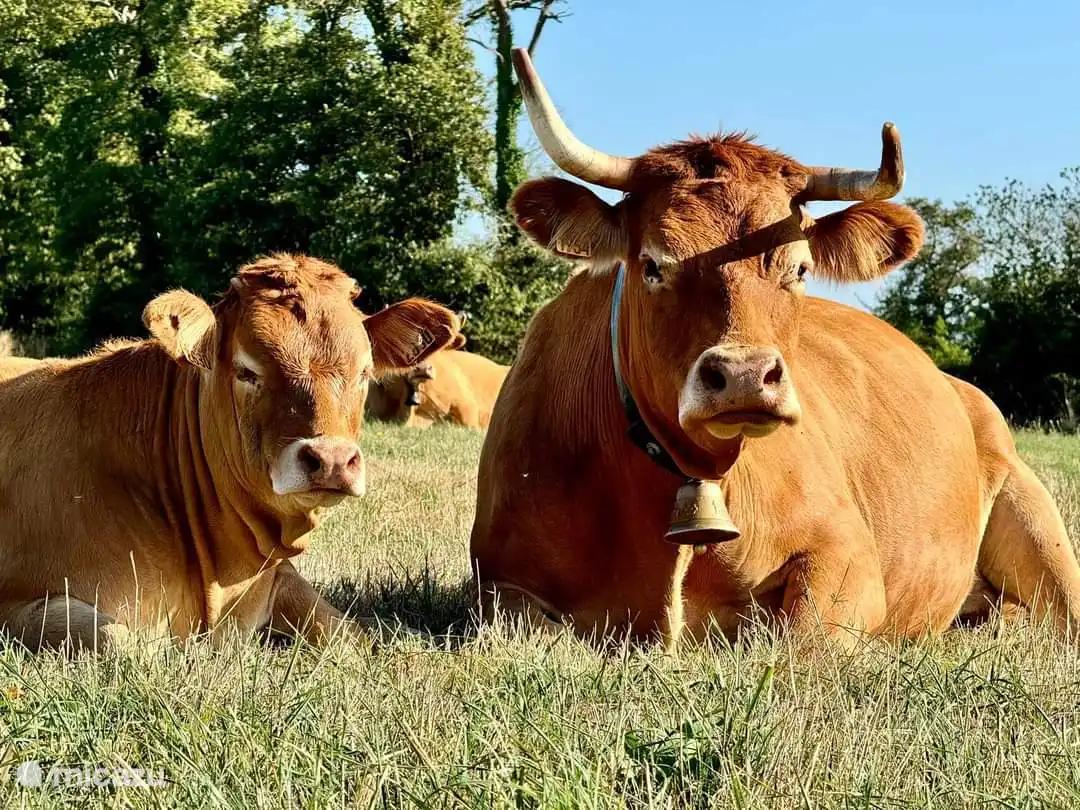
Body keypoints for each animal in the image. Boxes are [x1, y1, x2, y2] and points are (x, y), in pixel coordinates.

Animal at [0, 254, 460, 651]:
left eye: (364, 372)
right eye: (246, 371)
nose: (331, 461)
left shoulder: (279, 576)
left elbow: (349, 632)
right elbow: (125, 644)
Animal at [470, 49, 1080, 650]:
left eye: (800, 268)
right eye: (652, 265)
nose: (744, 376)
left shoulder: (847, 555)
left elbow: (802, 641)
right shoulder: (497, 584)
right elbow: (535, 630)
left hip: (1037, 524)